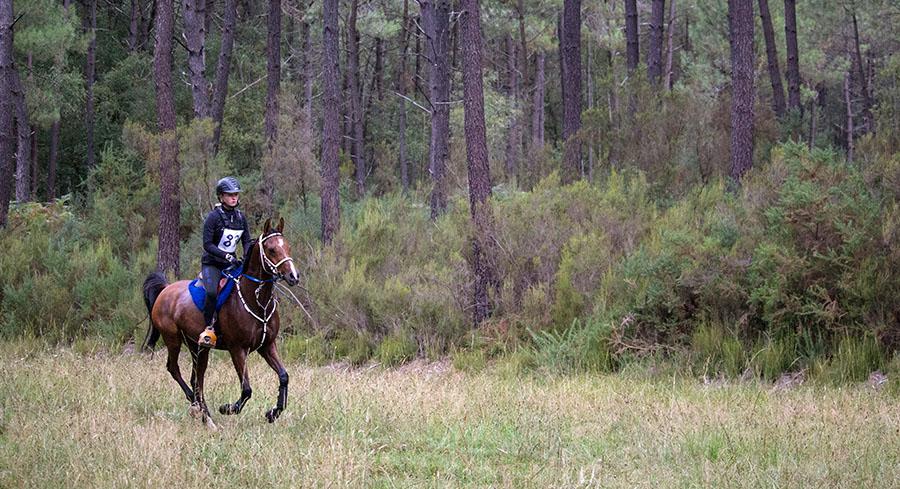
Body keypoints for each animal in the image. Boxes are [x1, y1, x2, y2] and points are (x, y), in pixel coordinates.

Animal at [141, 217, 300, 428]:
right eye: (272, 249)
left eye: (288, 247)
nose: (293, 276)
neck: (258, 301)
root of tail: (165, 290)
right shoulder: (237, 349)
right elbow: (246, 388)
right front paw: (228, 408)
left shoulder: (267, 345)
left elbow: (284, 376)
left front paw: (273, 413)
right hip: (173, 339)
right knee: (174, 369)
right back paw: (198, 409)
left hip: (197, 346)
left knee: (197, 378)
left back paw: (205, 415)